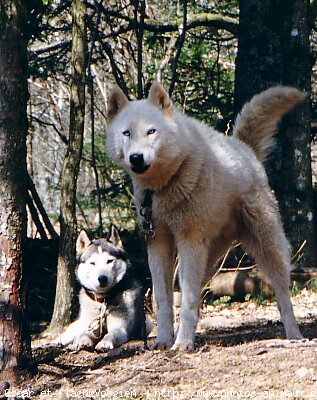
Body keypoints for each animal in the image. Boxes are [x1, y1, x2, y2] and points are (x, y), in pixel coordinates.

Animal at [107, 82, 304, 350]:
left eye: (151, 131)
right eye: (126, 133)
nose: (136, 158)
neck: (164, 185)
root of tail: (243, 147)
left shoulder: (188, 241)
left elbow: (186, 302)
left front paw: (182, 345)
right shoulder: (158, 243)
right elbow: (163, 300)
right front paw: (164, 341)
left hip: (266, 248)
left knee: (283, 293)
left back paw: (294, 335)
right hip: (207, 260)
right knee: (196, 293)